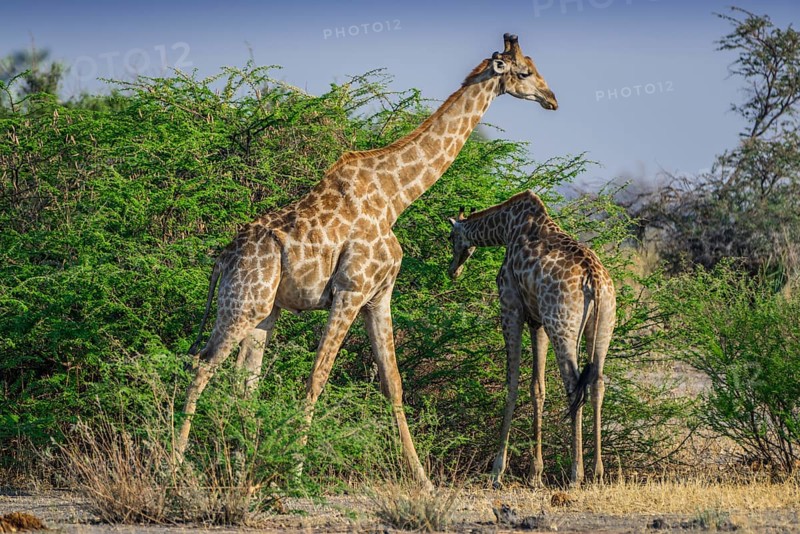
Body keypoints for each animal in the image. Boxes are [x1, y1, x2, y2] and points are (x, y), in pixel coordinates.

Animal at [176, 34, 558, 490]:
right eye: (525, 72)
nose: (552, 99)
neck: (395, 197)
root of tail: (221, 261)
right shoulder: (350, 290)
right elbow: (317, 376)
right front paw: (296, 473)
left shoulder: (379, 295)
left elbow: (393, 382)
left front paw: (423, 479)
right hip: (242, 306)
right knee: (201, 365)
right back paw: (174, 465)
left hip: (264, 311)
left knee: (243, 382)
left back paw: (237, 470)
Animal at [447, 190, 616, 487]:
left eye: (449, 237)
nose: (452, 270)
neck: (506, 228)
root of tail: (594, 281)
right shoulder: (538, 321)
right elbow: (537, 387)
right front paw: (535, 473)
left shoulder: (511, 305)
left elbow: (512, 383)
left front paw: (497, 471)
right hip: (603, 325)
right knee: (597, 384)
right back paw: (597, 473)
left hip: (562, 326)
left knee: (573, 385)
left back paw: (576, 474)